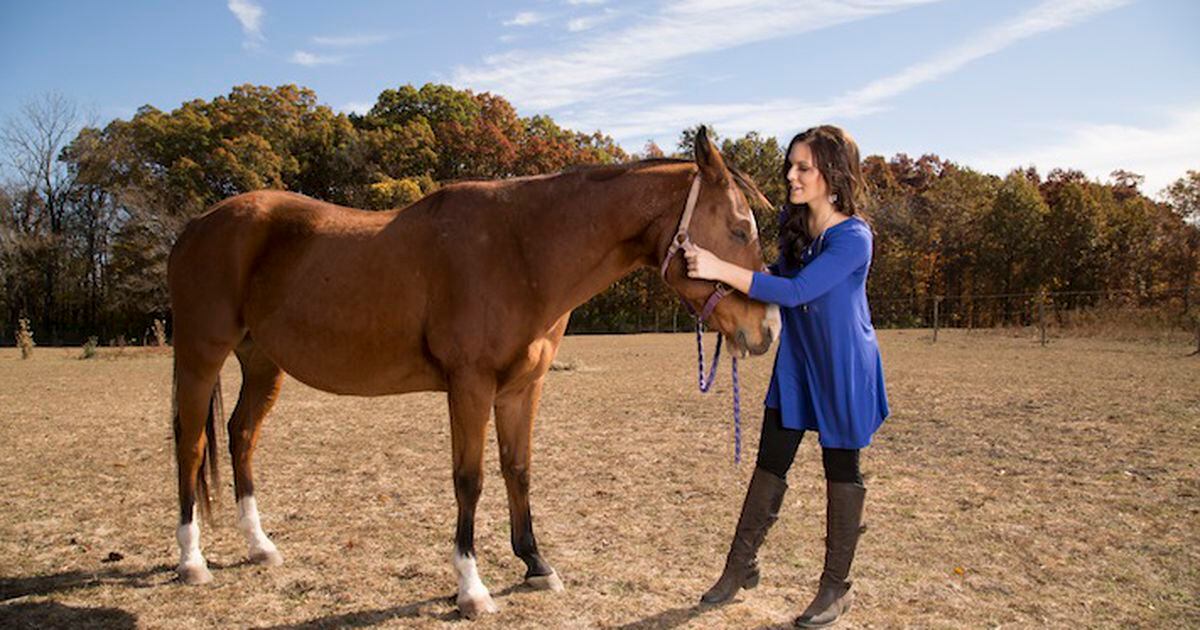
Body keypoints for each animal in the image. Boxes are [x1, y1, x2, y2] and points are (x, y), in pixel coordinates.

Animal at [171, 126, 787, 614]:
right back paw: (191, 560)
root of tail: (197, 224)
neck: (520, 251)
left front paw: (536, 564)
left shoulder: (521, 389)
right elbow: (470, 479)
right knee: (191, 444)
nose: (769, 331)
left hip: (262, 362)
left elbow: (518, 469)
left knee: (240, 436)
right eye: (739, 229)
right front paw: (472, 588)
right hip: (201, 354)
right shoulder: (469, 386)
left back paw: (260, 546)